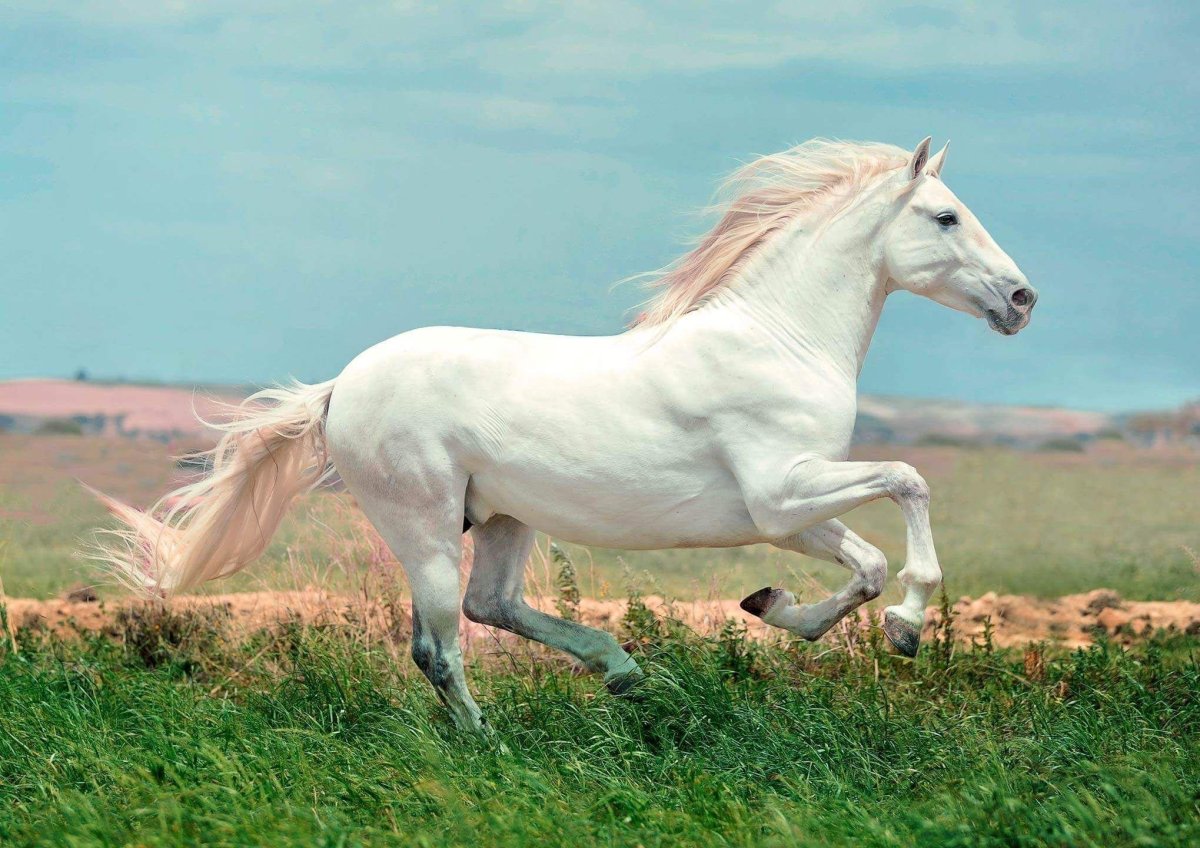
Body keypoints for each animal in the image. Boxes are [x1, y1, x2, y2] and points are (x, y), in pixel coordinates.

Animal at [89, 136, 1037, 732]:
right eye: (946, 217)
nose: (1023, 299)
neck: (777, 338)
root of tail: (339, 389)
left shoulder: (784, 512)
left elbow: (866, 564)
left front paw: (778, 607)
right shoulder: (782, 490)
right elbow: (910, 480)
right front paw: (910, 624)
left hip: (502, 518)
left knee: (491, 606)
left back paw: (620, 670)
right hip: (423, 525)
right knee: (440, 645)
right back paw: (491, 742)